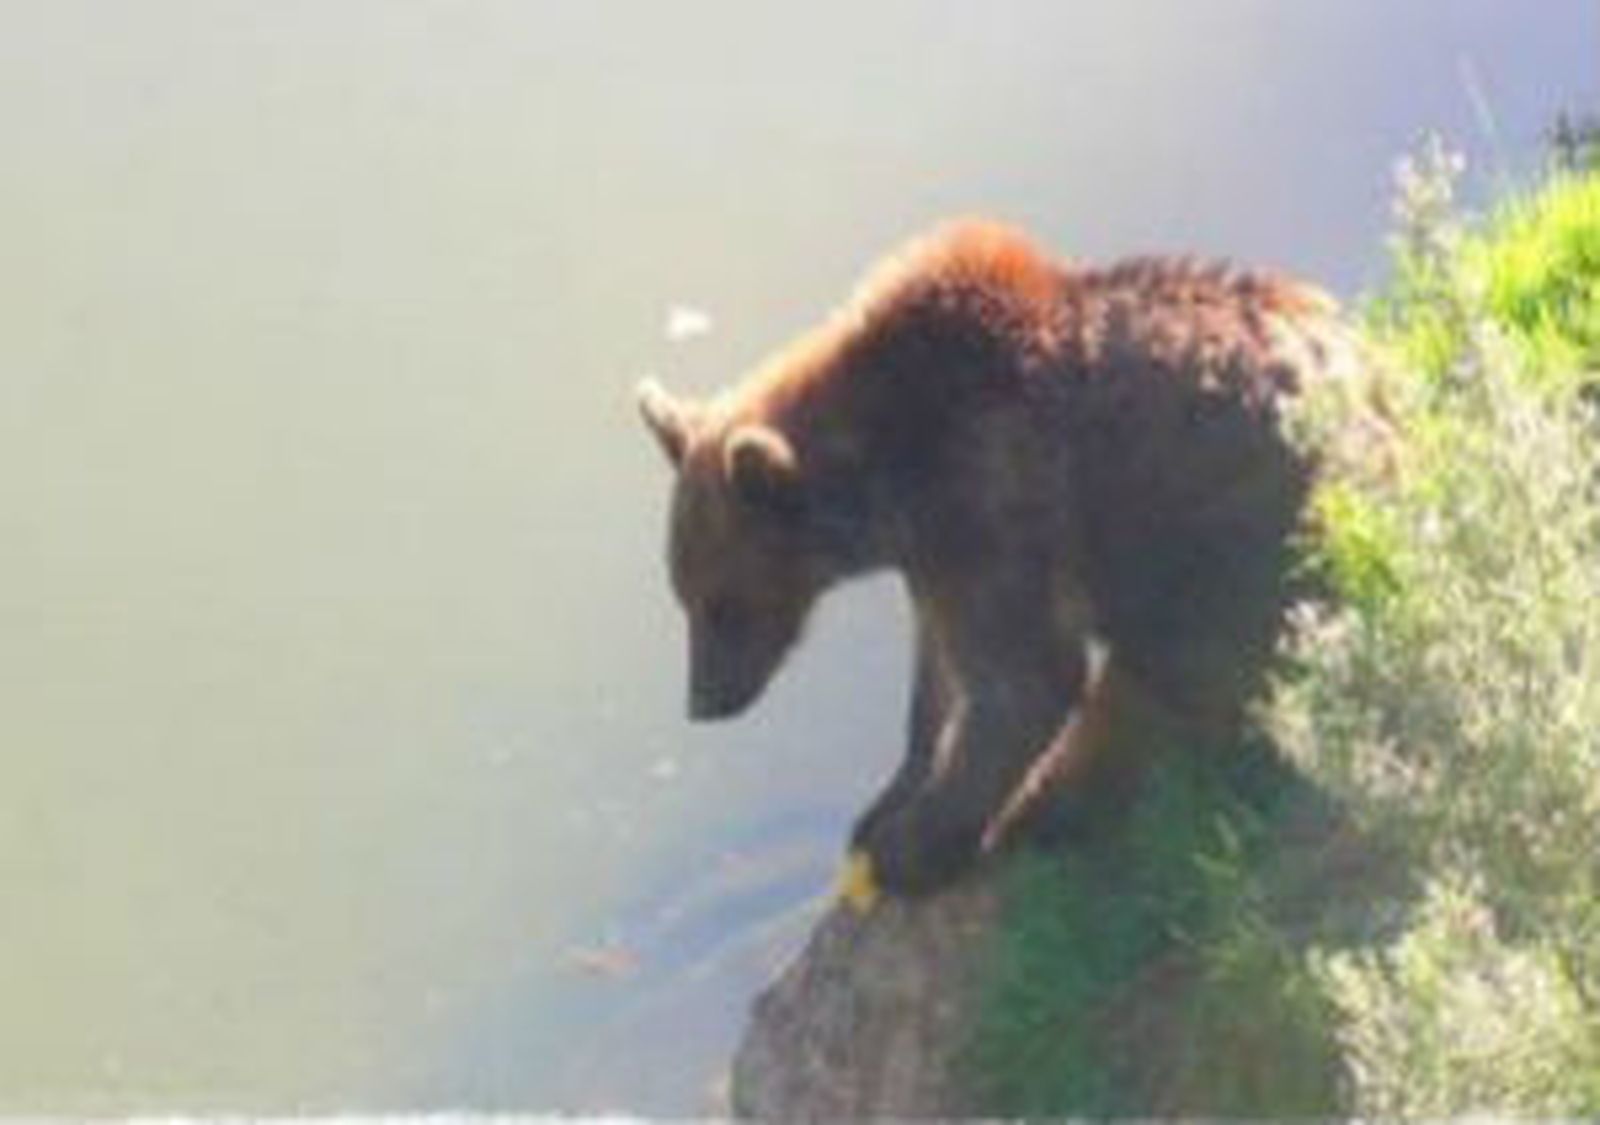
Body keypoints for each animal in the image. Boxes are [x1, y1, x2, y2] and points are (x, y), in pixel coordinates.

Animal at [637, 219, 1360, 901]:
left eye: (724, 603)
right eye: (683, 596)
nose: (703, 700)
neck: (888, 476)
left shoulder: (992, 499)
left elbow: (1021, 681)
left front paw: (912, 846)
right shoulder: (932, 553)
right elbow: (941, 674)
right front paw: (886, 803)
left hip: (1230, 538)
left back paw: (1056, 806)